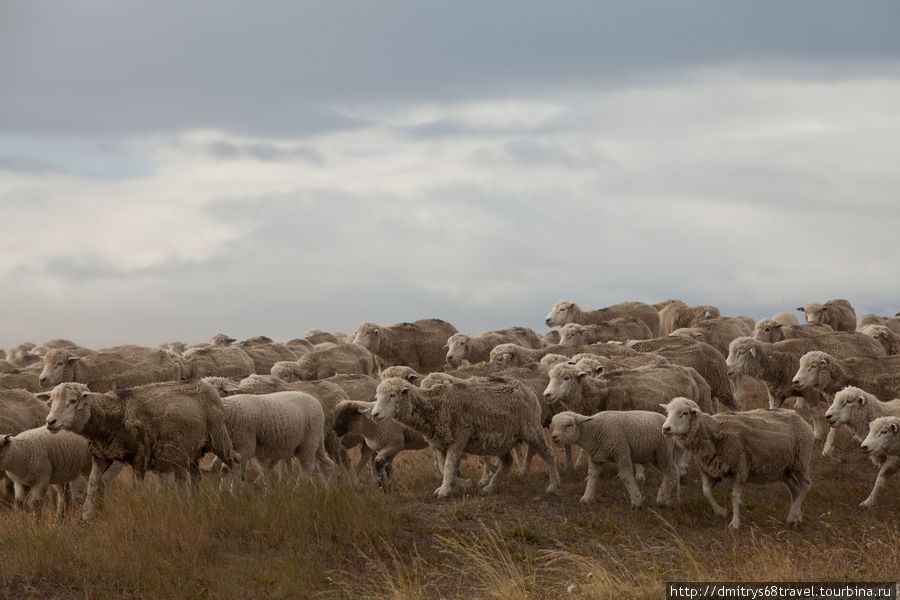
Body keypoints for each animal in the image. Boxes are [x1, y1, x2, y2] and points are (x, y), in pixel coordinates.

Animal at [44, 382, 239, 524]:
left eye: (72, 401)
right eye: (51, 402)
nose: (50, 422)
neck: (113, 414)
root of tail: (208, 386)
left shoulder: (139, 457)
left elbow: (136, 487)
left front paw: (136, 510)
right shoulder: (100, 456)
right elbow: (92, 485)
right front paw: (87, 517)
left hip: (218, 435)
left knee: (234, 461)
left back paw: (236, 495)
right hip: (190, 450)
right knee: (197, 476)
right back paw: (192, 502)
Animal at [370, 378, 560, 500]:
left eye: (393, 395)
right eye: (376, 396)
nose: (374, 414)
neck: (435, 406)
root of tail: (527, 389)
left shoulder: (459, 437)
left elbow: (448, 466)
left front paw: (445, 491)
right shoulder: (440, 442)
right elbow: (443, 467)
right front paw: (465, 483)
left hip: (531, 429)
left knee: (549, 453)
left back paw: (553, 486)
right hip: (501, 439)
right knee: (507, 462)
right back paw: (489, 488)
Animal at [548, 410, 684, 508]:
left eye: (569, 425)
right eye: (554, 425)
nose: (554, 437)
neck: (595, 430)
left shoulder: (622, 452)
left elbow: (626, 477)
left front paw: (636, 501)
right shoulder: (596, 458)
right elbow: (592, 476)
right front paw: (586, 498)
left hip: (663, 452)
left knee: (671, 472)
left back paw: (662, 499)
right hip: (656, 457)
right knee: (674, 472)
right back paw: (672, 499)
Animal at [660, 398, 816, 528]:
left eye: (684, 413)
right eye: (668, 412)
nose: (665, 429)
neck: (714, 431)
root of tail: (801, 419)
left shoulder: (741, 469)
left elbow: (735, 497)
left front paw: (734, 523)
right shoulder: (709, 470)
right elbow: (706, 492)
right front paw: (721, 511)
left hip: (800, 461)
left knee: (805, 486)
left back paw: (791, 517)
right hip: (784, 469)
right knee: (795, 489)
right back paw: (796, 517)